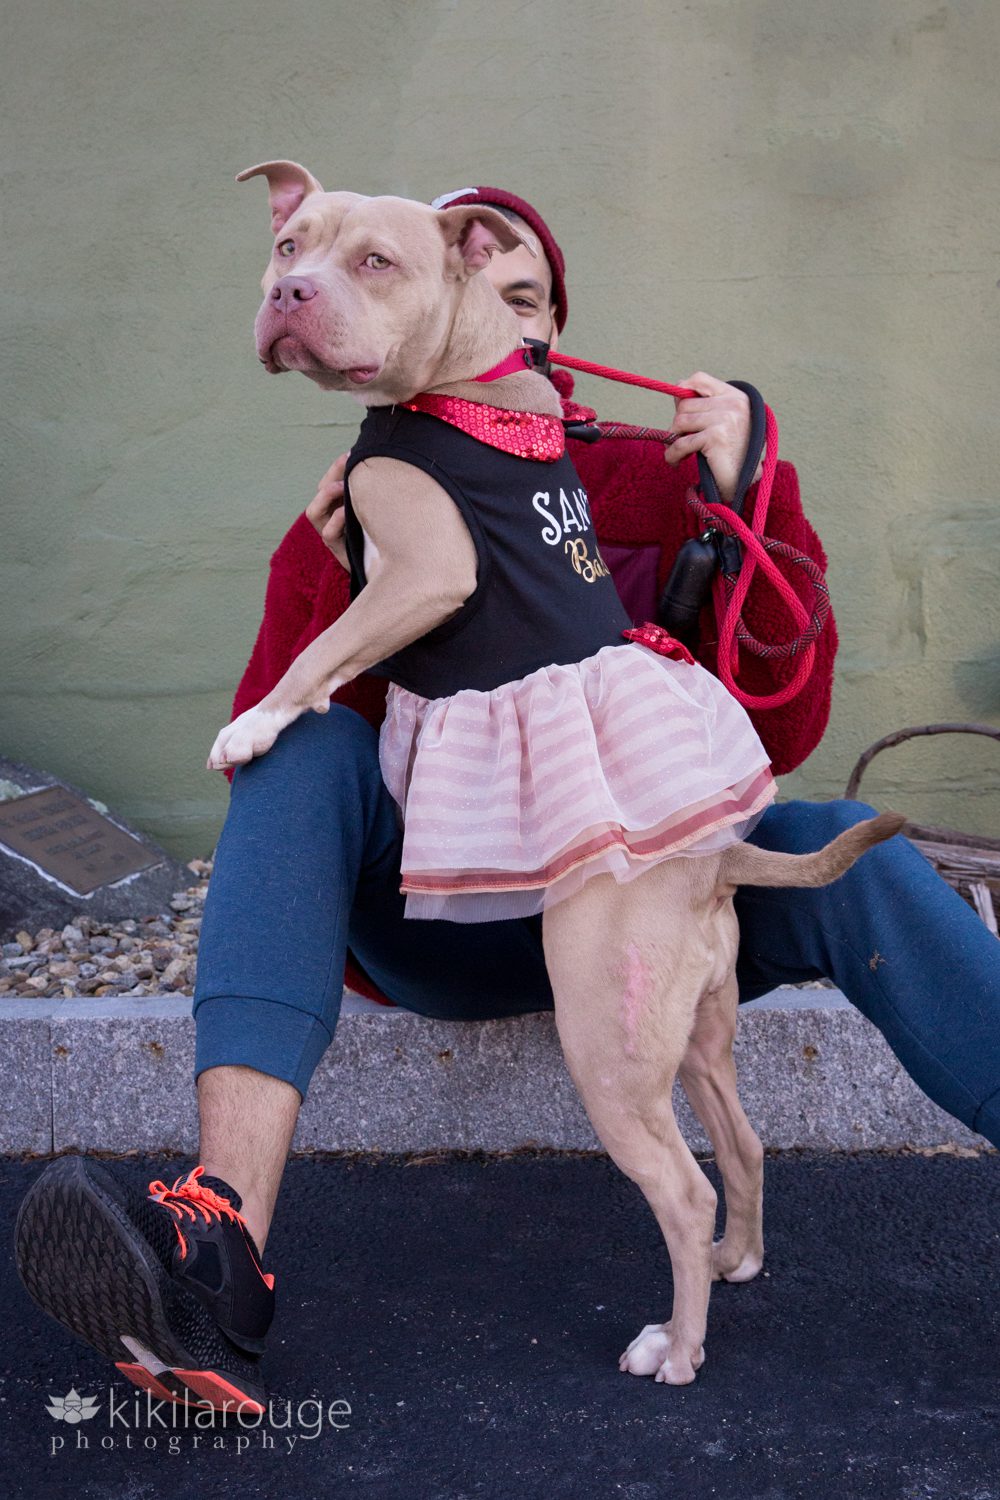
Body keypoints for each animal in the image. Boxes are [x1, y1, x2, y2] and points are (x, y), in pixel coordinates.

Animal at [211, 161, 905, 1380]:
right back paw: (737, 1260)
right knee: (741, 1142)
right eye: (289, 244)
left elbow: (314, 655)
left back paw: (677, 1347)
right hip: (697, 1030)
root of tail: (711, 861)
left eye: (374, 261)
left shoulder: (421, 573)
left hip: (607, 1040)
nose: (290, 293)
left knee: (681, 1187)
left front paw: (254, 730)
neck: (475, 377)